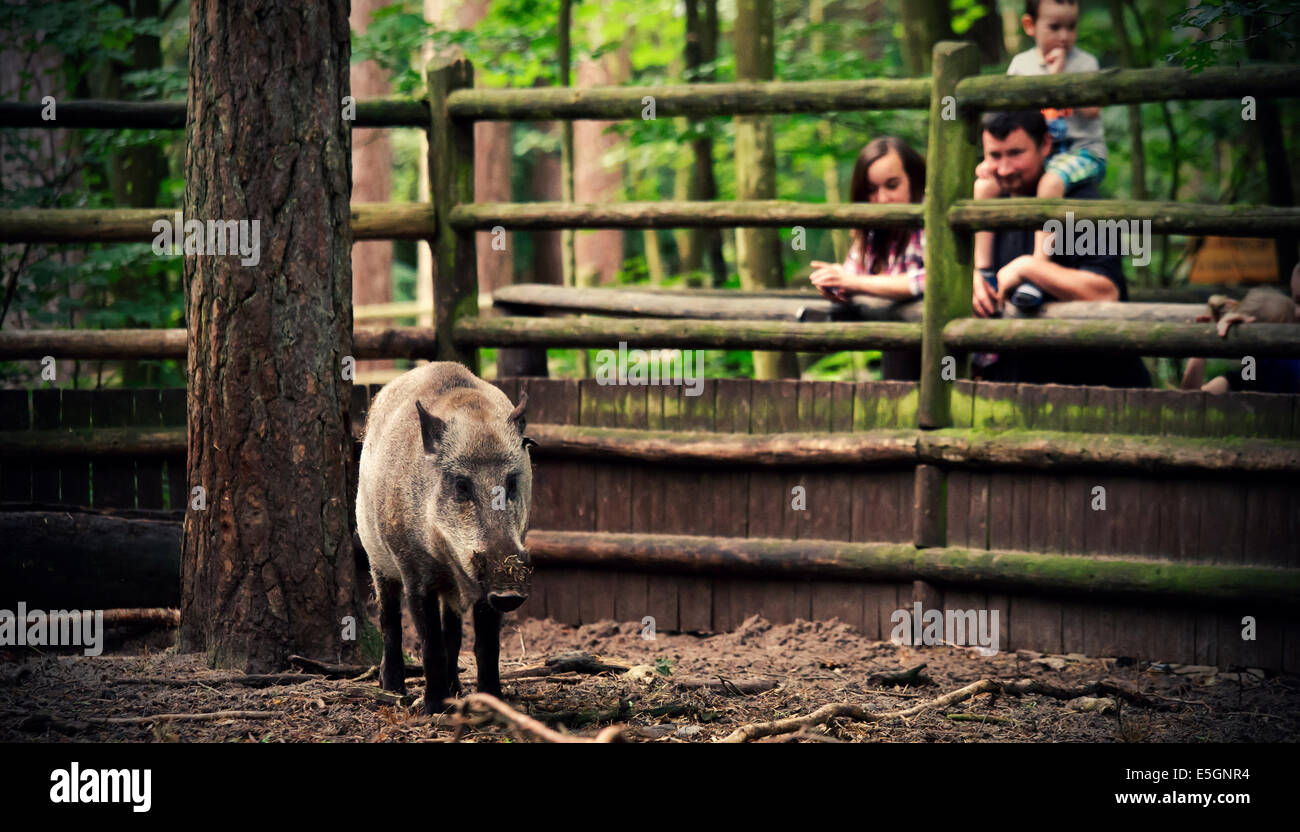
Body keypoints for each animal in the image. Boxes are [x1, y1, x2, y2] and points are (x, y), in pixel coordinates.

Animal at [356, 362, 536, 714]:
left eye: (511, 483)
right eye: (461, 485)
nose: (509, 592)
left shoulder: (483, 588)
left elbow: (485, 643)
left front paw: (493, 702)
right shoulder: (413, 571)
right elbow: (429, 641)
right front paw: (433, 708)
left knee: (452, 630)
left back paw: (456, 689)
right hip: (376, 557)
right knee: (389, 618)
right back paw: (393, 689)